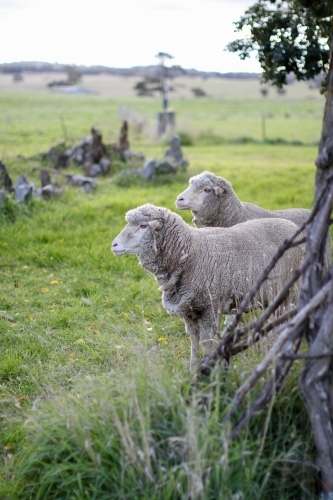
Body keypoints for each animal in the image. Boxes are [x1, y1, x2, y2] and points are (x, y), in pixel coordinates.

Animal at [111, 203, 304, 368]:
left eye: (143, 226)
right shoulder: (190, 311)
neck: (191, 252)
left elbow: (206, 342)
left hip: (291, 291)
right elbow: (194, 342)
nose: (114, 245)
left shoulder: (209, 307)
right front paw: (192, 368)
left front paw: (207, 369)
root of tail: (292, 226)